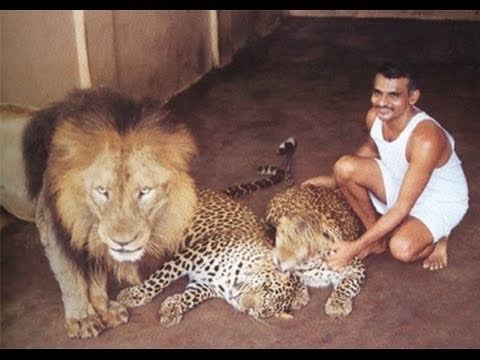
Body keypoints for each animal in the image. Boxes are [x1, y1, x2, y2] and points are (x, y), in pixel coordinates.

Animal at [0, 88, 199, 338]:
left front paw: (103, 308)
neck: (85, 215)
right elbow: (70, 278)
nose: (123, 242)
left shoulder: (93, 233)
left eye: (144, 191)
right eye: (102, 191)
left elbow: (97, 273)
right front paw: (82, 318)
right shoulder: (52, 226)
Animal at [117, 188, 310, 326]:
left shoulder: (203, 285)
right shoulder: (194, 253)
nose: (243, 303)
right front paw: (135, 295)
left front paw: (172, 308)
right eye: (265, 287)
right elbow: (162, 277)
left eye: (262, 311)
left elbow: (191, 297)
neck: (230, 280)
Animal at [266, 186, 368, 318]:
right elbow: (294, 277)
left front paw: (337, 304)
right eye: (285, 235)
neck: (309, 265)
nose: (279, 261)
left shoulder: (356, 267)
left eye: (306, 247)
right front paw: (297, 295)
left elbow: (347, 284)